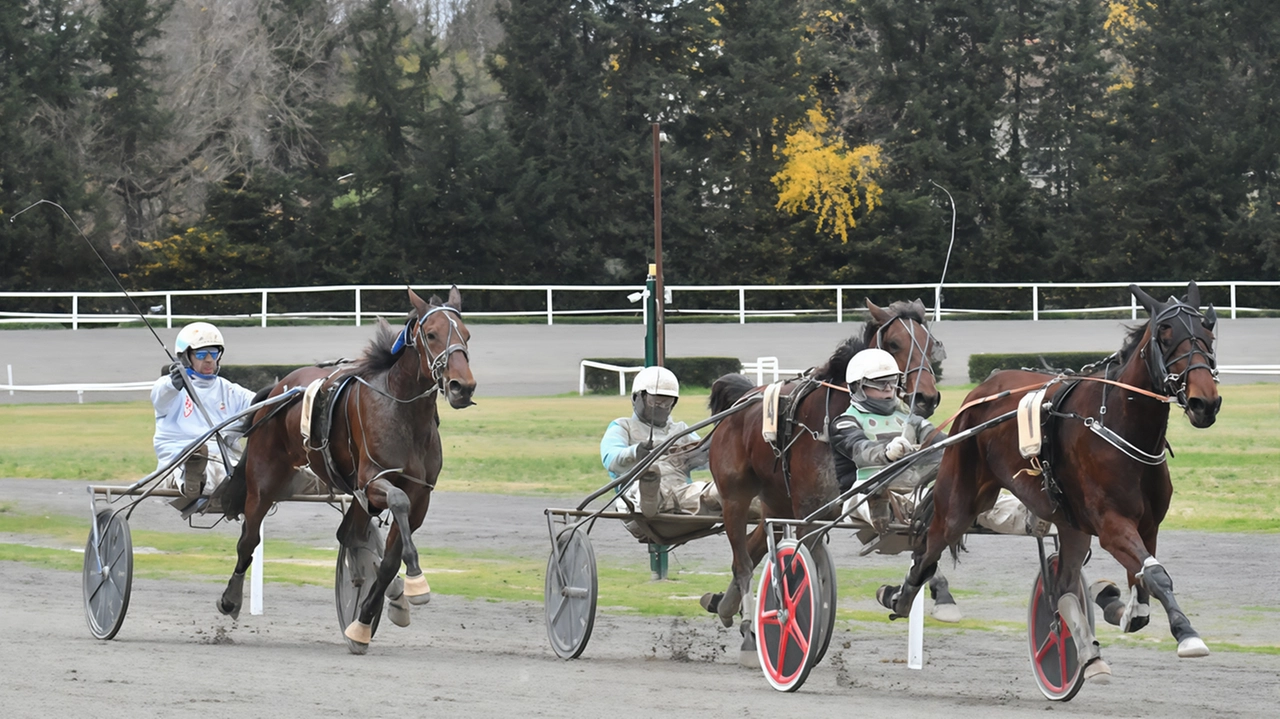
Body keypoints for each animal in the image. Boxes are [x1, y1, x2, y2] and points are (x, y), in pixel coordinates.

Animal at [215, 285, 476, 649]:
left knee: (348, 534)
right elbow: (398, 502)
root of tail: (280, 386)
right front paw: (414, 581)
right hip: (263, 480)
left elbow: (390, 559)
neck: (403, 412)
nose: (462, 387)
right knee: (248, 540)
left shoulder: (419, 494)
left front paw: (363, 623)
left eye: (467, 334)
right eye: (431, 334)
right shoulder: (373, 482)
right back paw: (231, 599)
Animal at [706, 296, 947, 626]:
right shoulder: (810, 516)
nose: (926, 397)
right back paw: (745, 618)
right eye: (895, 344)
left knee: (755, 546)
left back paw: (726, 605)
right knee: (742, 560)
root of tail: (745, 399)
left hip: (777, 500)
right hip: (735, 498)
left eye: (929, 342)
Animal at [880, 280, 1218, 675]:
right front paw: (1187, 633)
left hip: (1071, 525)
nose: (1204, 403)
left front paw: (1123, 607)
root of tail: (982, 389)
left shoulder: (1147, 525)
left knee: (1064, 585)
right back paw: (901, 596)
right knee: (929, 546)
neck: (1122, 426)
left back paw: (1086, 646)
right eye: (1165, 333)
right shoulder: (1112, 524)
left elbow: (1142, 586)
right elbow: (1155, 575)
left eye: (1209, 330)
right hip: (960, 500)